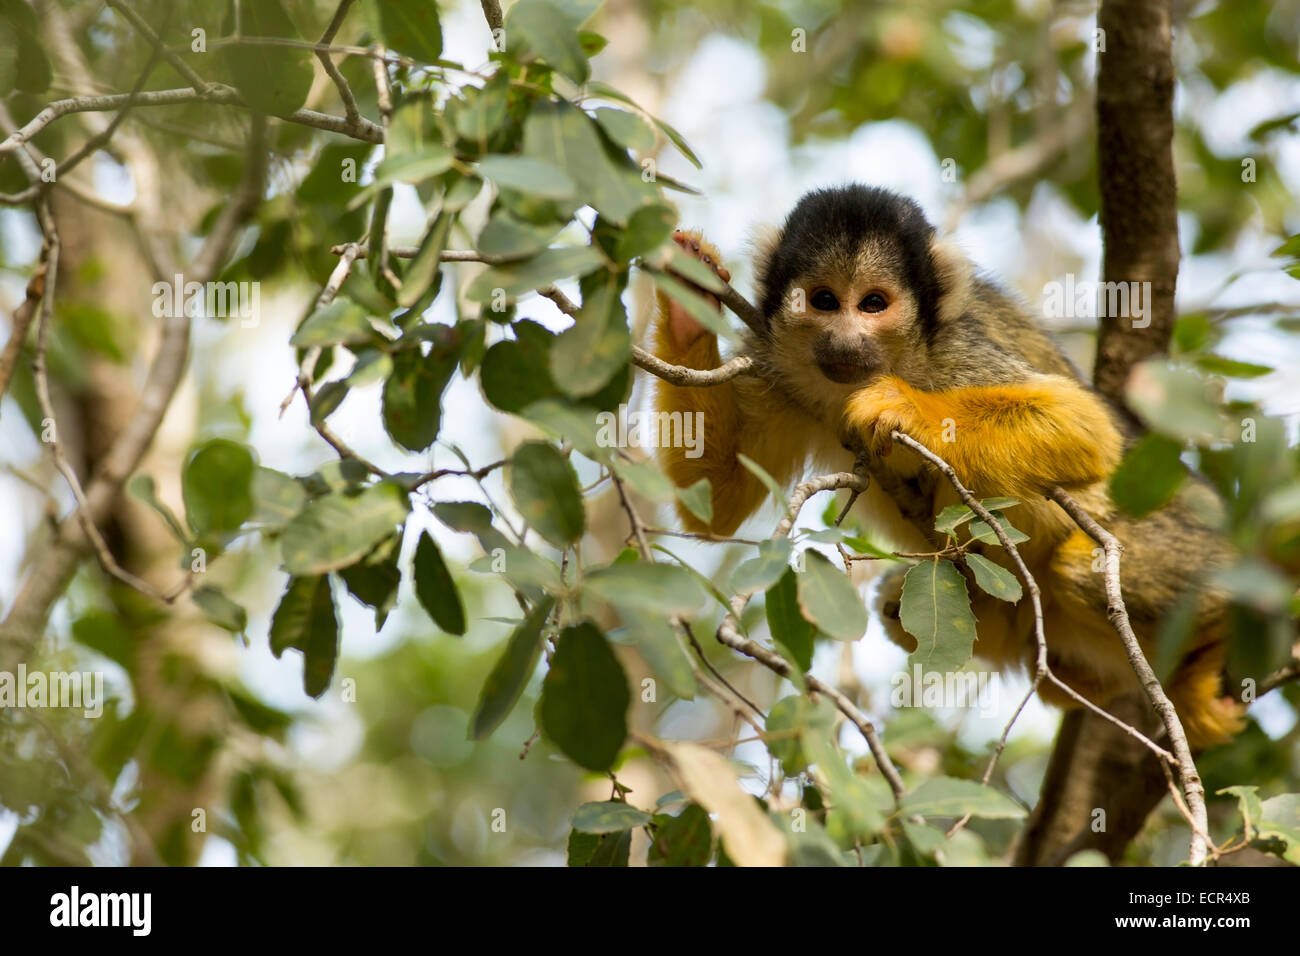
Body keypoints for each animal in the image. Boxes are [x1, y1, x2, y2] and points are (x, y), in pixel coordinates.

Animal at [655, 184, 1242, 749]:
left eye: (873, 304)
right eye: (823, 301)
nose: (845, 340)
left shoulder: (955, 352)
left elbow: (1086, 430)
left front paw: (902, 408)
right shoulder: (769, 359)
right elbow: (715, 504)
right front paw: (688, 299)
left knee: (1079, 562)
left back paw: (1204, 652)